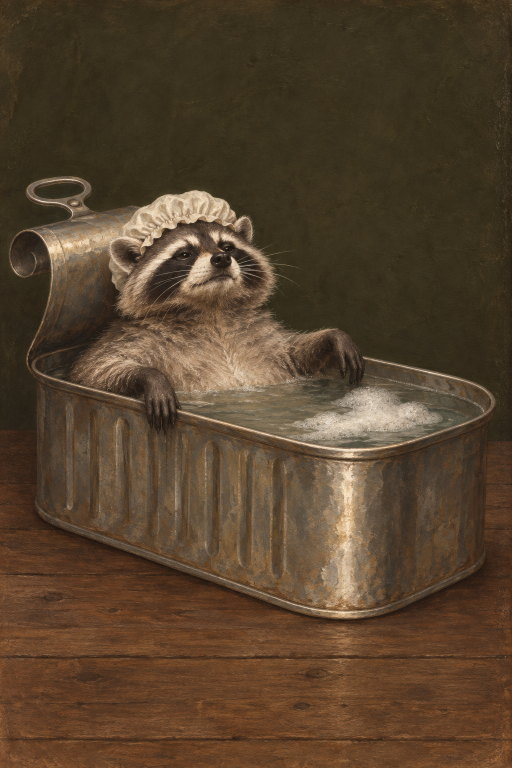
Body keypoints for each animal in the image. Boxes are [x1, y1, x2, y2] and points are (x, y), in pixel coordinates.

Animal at [70, 215, 365, 432]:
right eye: (184, 254)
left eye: (227, 247)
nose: (221, 258)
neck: (212, 311)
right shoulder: (135, 335)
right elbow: (94, 369)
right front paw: (150, 376)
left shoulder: (265, 336)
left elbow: (295, 353)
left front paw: (332, 336)